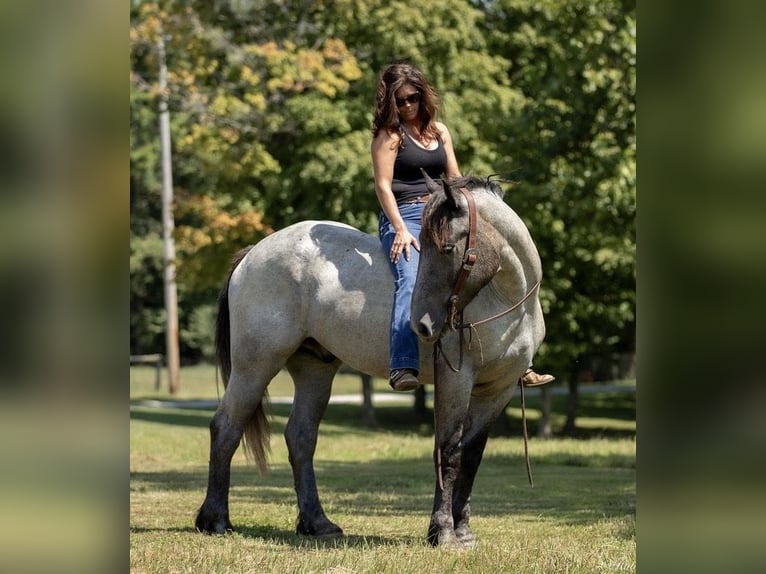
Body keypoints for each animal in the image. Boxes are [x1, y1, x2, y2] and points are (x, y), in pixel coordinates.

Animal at [195, 174, 548, 548]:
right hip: (255, 366)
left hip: (314, 371)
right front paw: (443, 532)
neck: (506, 300)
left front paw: (463, 531)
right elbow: (448, 450)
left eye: (447, 248)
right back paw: (215, 520)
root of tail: (253, 254)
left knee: (301, 438)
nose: (424, 325)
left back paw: (316, 523)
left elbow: (471, 456)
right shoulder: (456, 379)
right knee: (225, 427)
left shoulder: (498, 389)